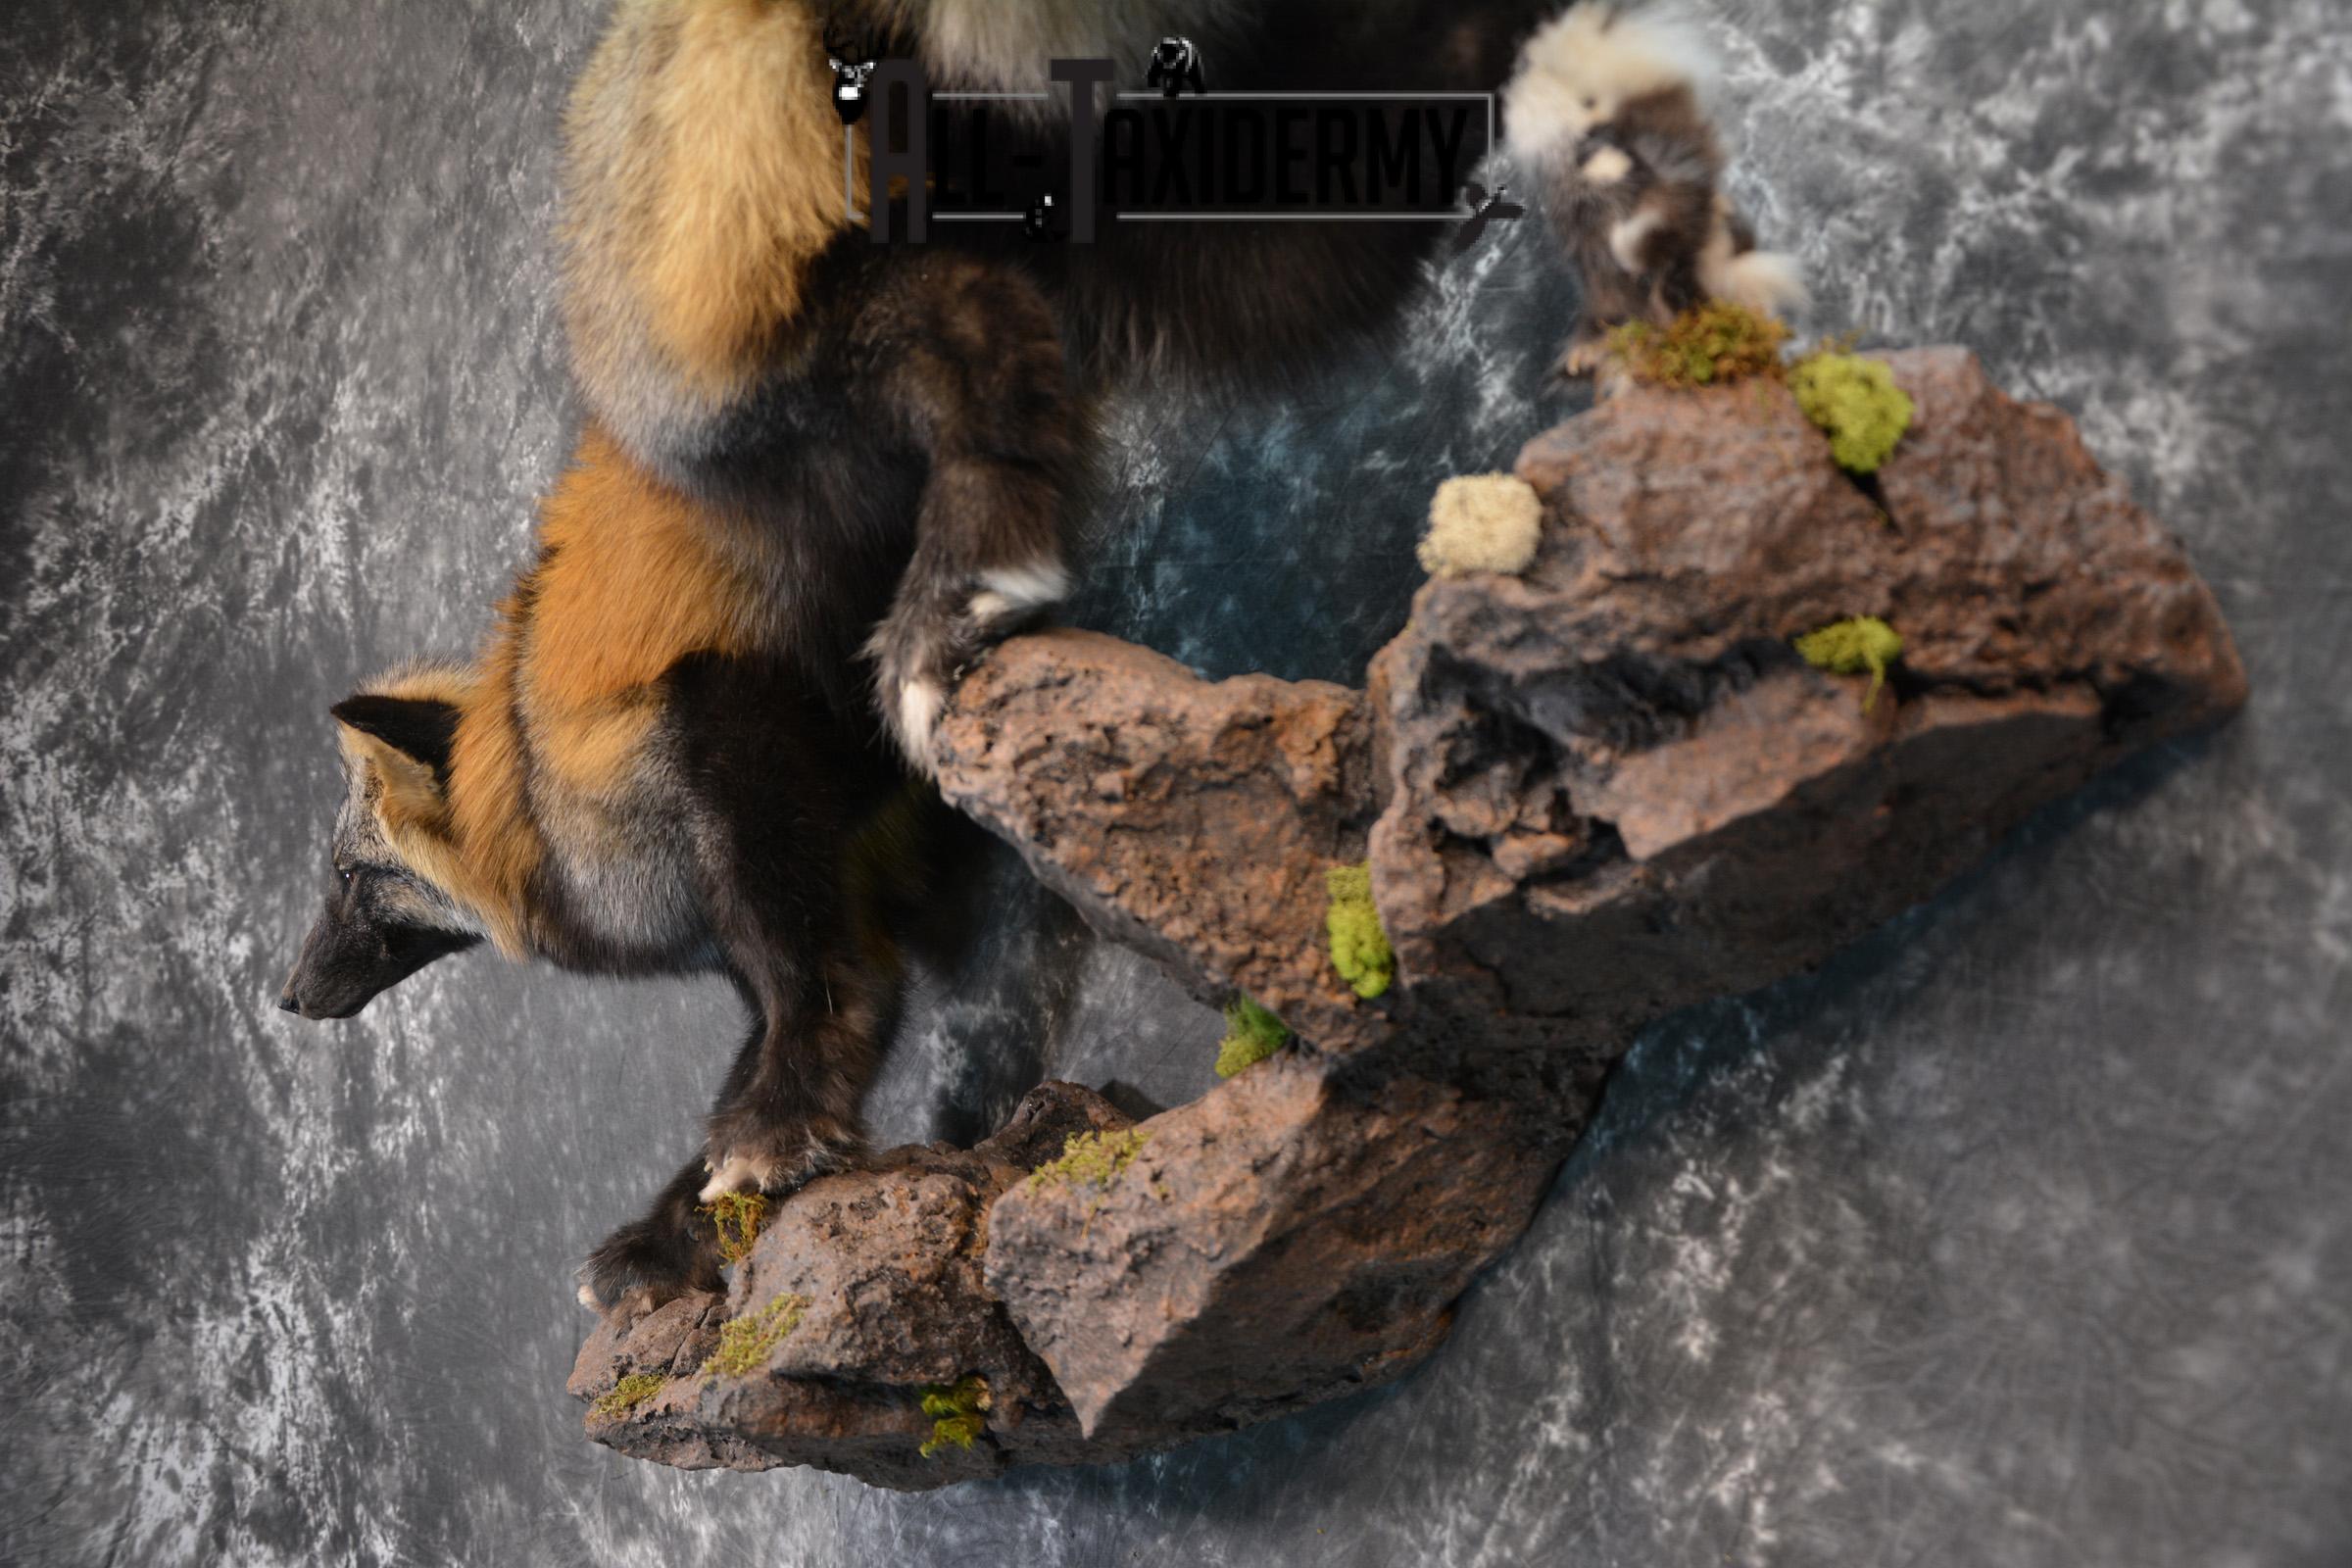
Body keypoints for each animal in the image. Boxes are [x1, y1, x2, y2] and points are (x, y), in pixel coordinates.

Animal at [283, 0, 1714, 1320]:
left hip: (783, 382)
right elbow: (788, 1068)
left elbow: (819, 1009)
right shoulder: (863, 874)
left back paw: (958, 601)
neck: (529, 784)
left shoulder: (732, 755)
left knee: (977, 339)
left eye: (352, 881)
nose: (291, 999)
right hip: (1141, 227)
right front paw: (668, 1234)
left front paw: (767, 1145)